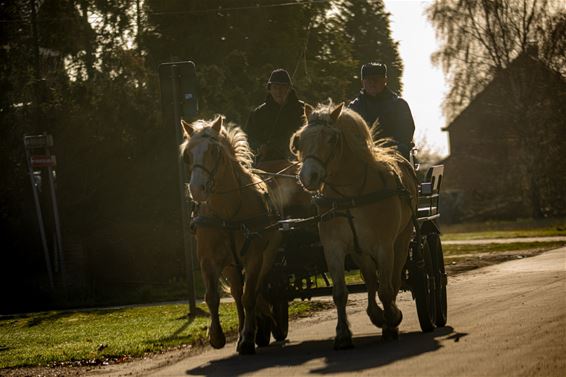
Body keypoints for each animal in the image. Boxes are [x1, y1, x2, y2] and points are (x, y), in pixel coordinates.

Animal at [180, 116, 282, 354]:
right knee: (237, 293)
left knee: (255, 290)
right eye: (188, 154)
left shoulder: (254, 257)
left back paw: (260, 327)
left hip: (268, 256)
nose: (196, 190)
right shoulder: (208, 259)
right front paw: (216, 336)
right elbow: (212, 298)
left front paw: (247, 338)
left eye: (213, 151)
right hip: (230, 265)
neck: (227, 214)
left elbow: (249, 296)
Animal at [290, 102, 420, 346]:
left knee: (394, 279)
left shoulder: (383, 246)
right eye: (299, 140)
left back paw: (391, 316)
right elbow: (341, 292)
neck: (350, 195)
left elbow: (386, 289)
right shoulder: (334, 247)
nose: (308, 177)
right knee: (371, 280)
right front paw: (342, 334)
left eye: (332, 139)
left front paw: (391, 321)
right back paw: (376, 314)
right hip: (360, 251)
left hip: (402, 239)